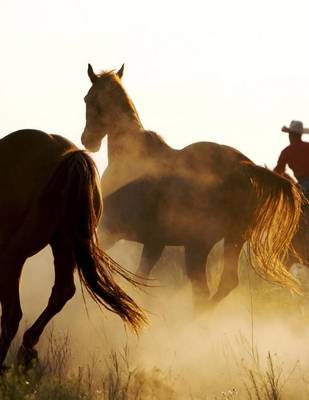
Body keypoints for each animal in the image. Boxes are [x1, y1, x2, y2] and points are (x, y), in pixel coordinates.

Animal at [0, 130, 146, 372]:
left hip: (15, 254)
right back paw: (27, 349)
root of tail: (71, 157)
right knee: (61, 291)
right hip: (63, 245)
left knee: (12, 314)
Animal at [80, 65, 302, 310]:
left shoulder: (110, 230)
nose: (88, 140)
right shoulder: (154, 242)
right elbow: (141, 278)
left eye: (87, 98)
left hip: (197, 246)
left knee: (203, 291)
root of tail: (244, 167)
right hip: (231, 239)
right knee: (224, 284)